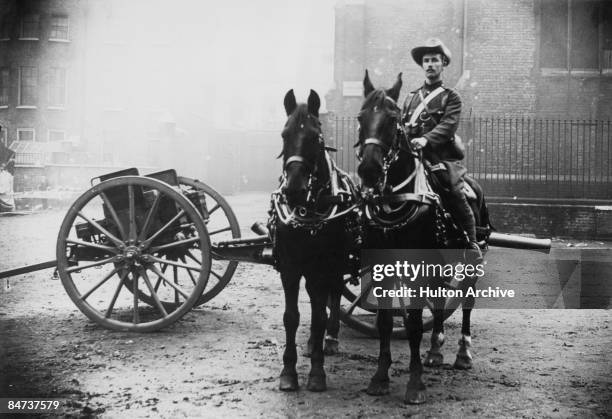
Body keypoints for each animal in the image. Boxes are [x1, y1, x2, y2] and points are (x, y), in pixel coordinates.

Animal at [270, 89, 360, 394]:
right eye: (284, 134)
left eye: (315, 137)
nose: (294, 189)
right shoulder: (290, 267)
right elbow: (291, 316)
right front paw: (288, 372)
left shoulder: (325, 265)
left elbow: (321, 314)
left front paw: (317, 373)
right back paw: (312, 343)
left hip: (334, 265)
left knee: (333, 295)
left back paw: (329, 339)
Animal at [356, 70, 490, 406]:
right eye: (361, 117)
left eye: (393, 119)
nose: (369, 169)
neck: (396, 199)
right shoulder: (382, 269)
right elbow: (385, 322)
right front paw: (380, 377)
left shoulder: (416, 269)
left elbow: (414, 325)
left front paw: (415, 384)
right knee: (440, 300)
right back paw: (435, 349)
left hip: (473, 260)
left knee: (466, 301)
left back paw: (463, 352)